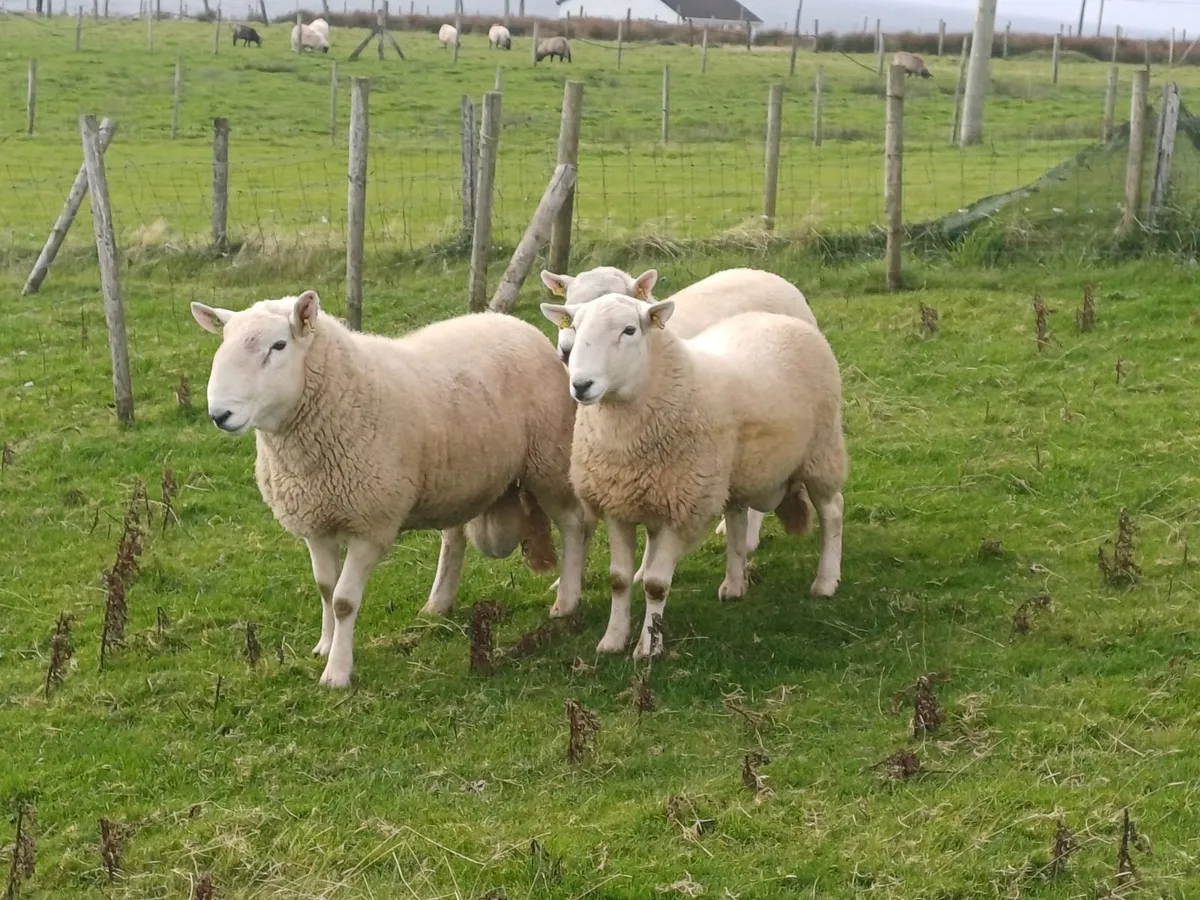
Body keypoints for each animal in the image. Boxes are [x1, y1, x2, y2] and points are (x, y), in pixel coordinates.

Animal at [191, 291, 591, 688]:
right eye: (224, 341)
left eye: (278, 345)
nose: (220, 414)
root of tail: (512, 322)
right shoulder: (315, 522)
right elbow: (325, 588)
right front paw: (325, 646)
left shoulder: (371, 525)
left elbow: (343, 601)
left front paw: (337, 672)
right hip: (459, 479)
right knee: (454, 539)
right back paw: (438, 603)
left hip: (548, 460)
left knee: (573, 525)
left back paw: (566, 600)